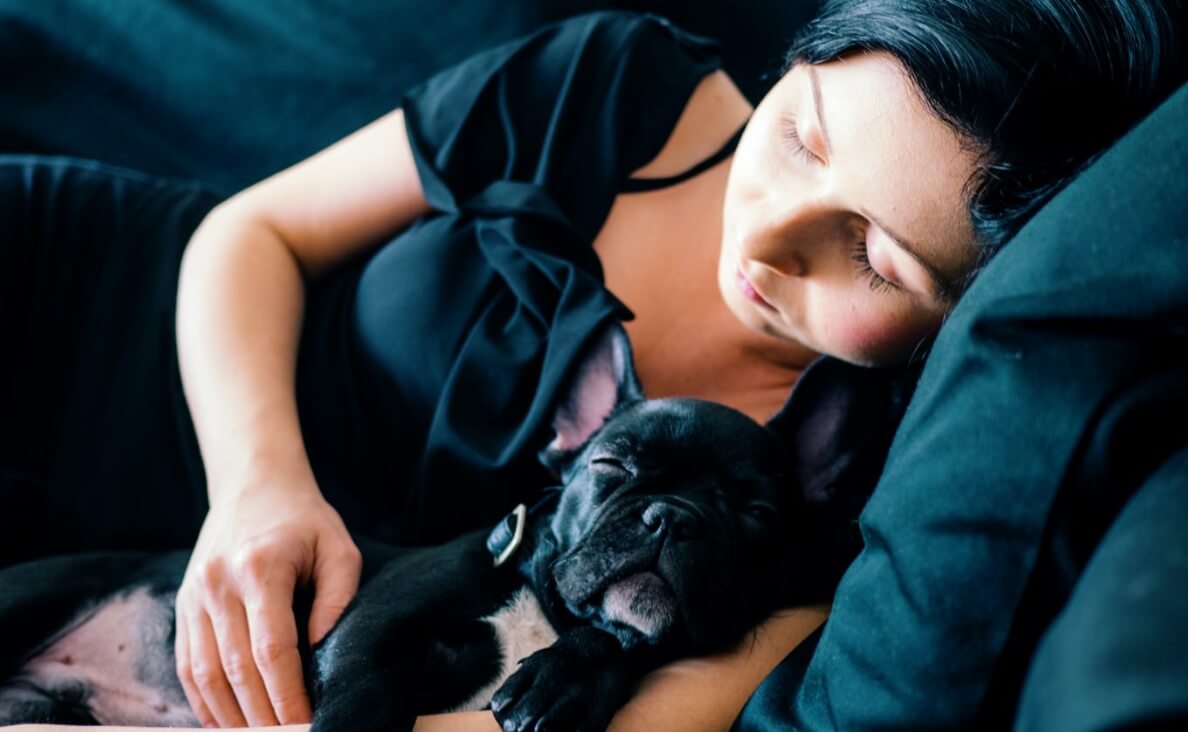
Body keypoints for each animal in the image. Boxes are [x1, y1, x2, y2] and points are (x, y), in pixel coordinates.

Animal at [0, 325, 907, 732]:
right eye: (610, 467)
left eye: (756, 517)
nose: (669, 516)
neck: (539, 606)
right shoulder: (366, 639)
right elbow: (362, 706)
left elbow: (617, 640)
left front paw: (564, 678)